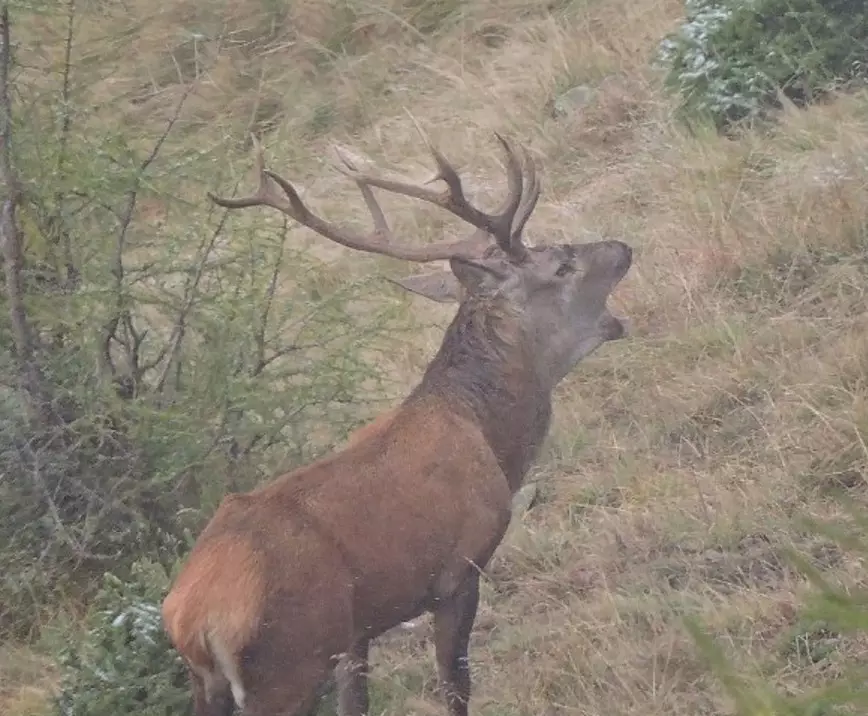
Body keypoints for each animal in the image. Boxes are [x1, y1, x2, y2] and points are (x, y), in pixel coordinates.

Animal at [161, 132, 633, 716]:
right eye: (562, 264)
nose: (623, 247)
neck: (489, 436)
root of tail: (192, 622)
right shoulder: (459, 569)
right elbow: (455, 684)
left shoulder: (356, 632)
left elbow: (356, 702)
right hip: (287, 668)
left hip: (216, 682)